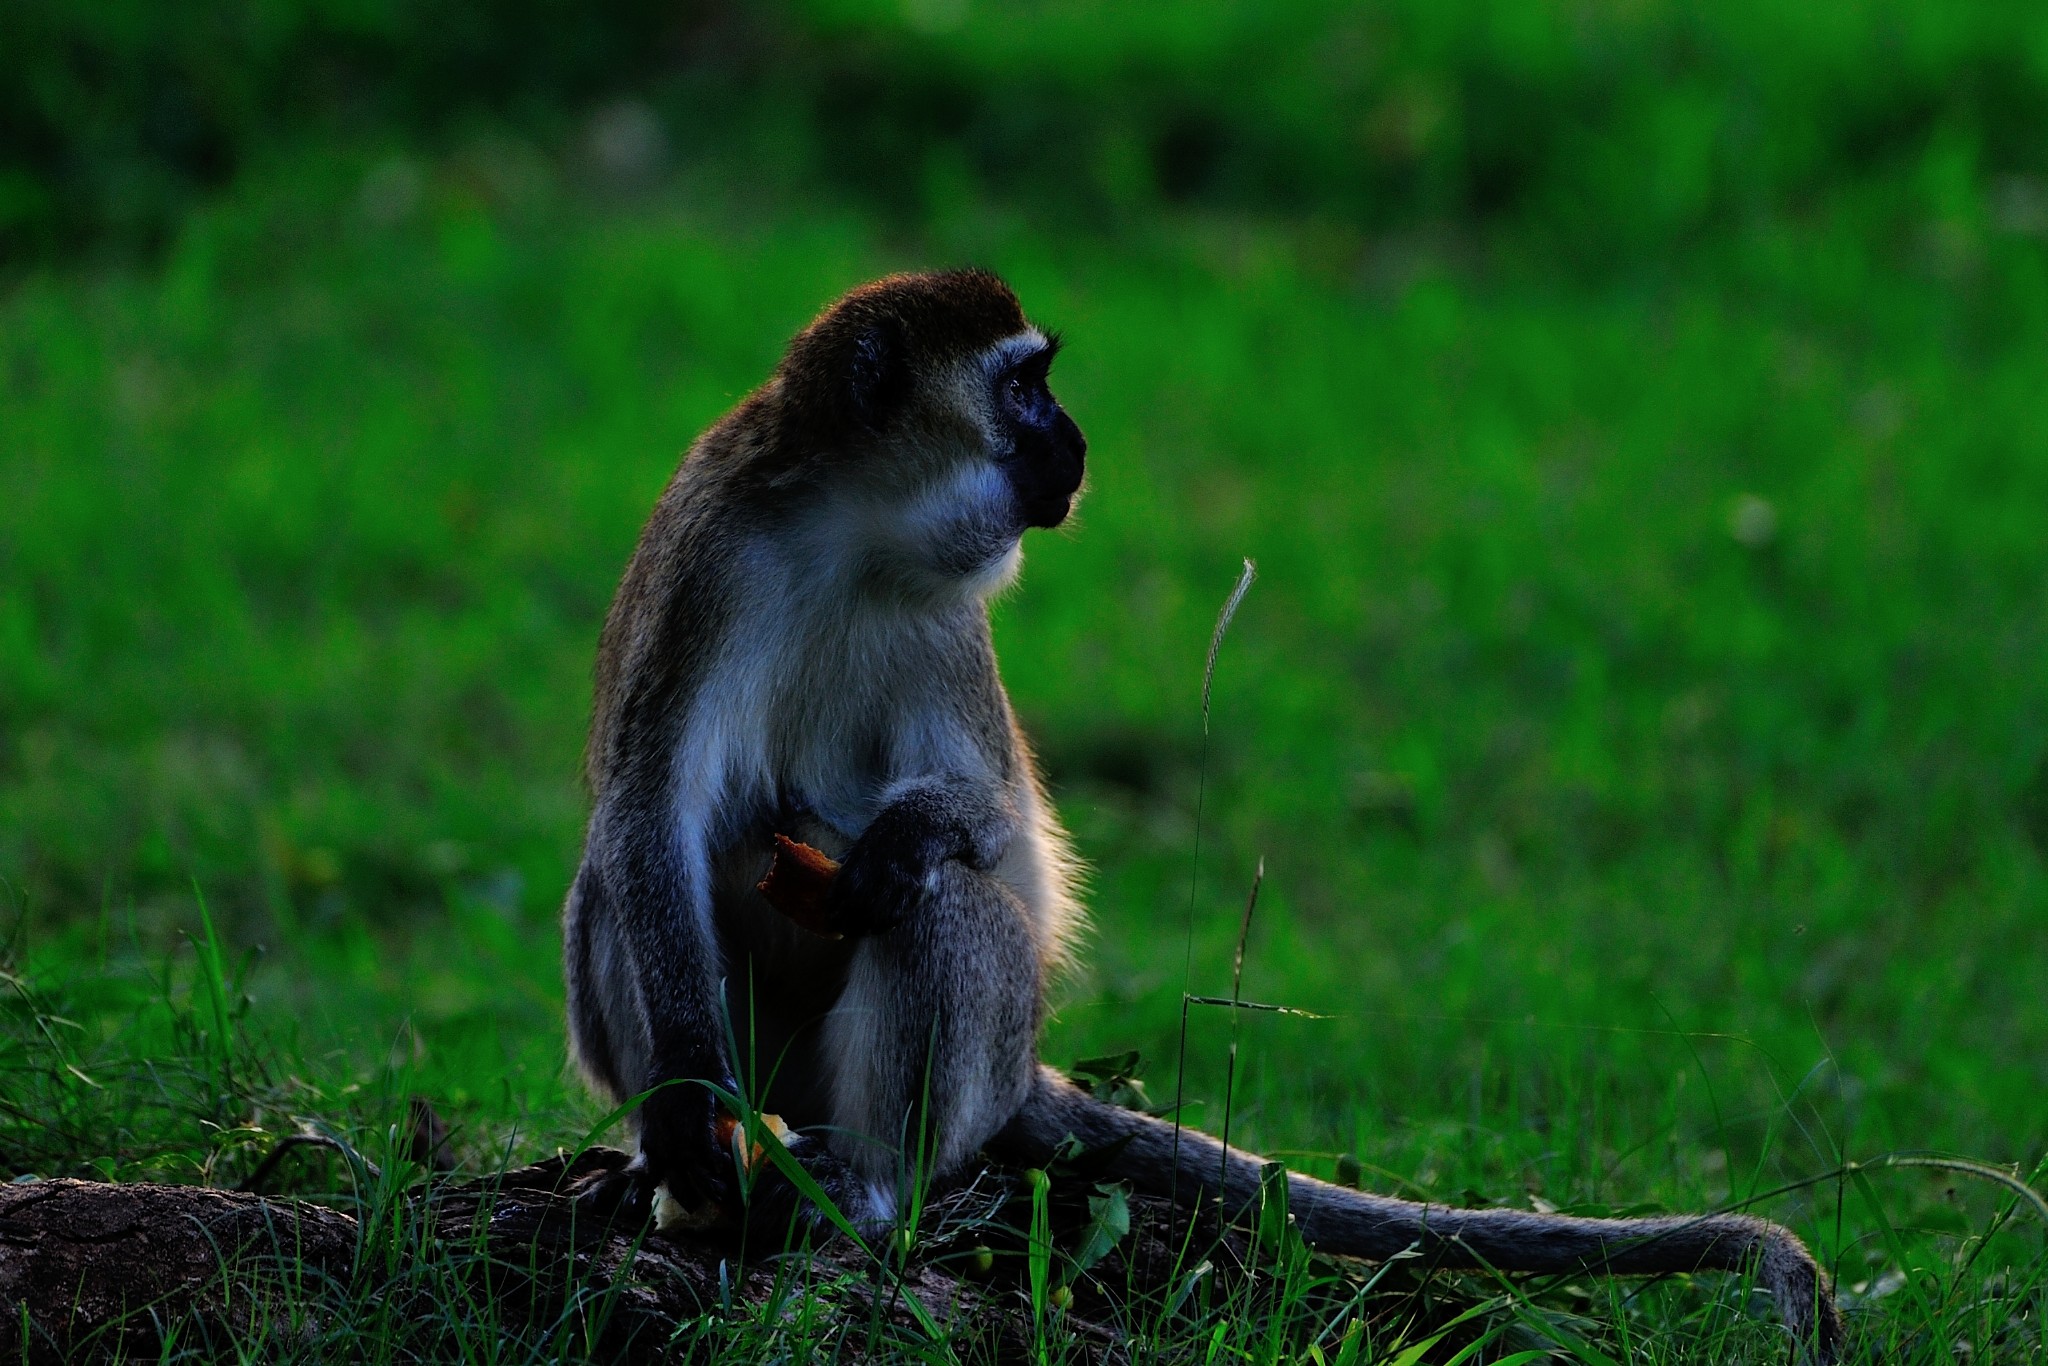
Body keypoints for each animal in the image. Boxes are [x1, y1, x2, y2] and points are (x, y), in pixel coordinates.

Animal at [561, 270, 1843, 1359]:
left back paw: (870, 1182)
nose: (1075, 441)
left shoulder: (948, 622)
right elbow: (648, 808)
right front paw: (683, 1111)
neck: (850, 526)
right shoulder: (709, 543)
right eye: (1020, 386)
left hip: (971, 1064)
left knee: (936, 902)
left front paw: (907, 840)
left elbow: (990, 827)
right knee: (620, 880)